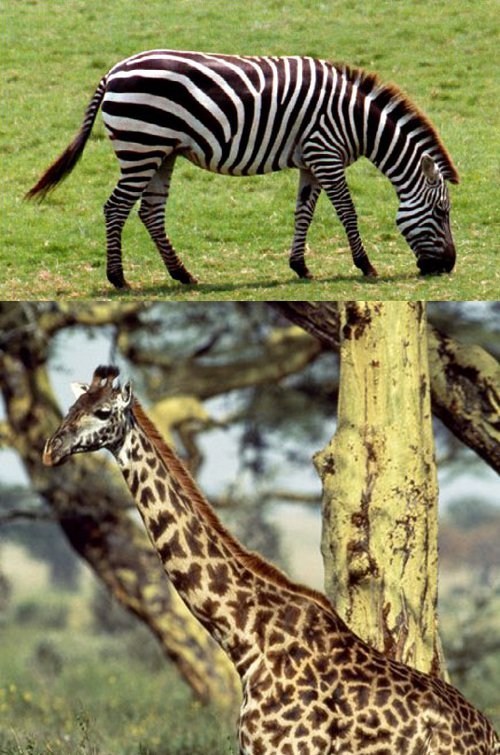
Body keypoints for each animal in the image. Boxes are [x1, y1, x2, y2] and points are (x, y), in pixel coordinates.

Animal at [26, 50, 459, 289]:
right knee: (116, 208)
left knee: (150, 212)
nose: (448, 268)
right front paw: (366, 265)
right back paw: (118, 278)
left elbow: (303, 212)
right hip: (141, 147)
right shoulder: (325, 154)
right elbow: (347, 212)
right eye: (442, 211)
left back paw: (182, 274)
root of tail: (113, 70)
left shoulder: (312, 161)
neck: (357, 120)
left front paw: (300, 266)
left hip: (162, 153)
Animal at [43, 366, 499, 755]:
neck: (247, 637)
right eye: (70, 410)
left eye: (103, 412)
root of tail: (490, 735)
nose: (51, 449)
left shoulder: (288, 749)